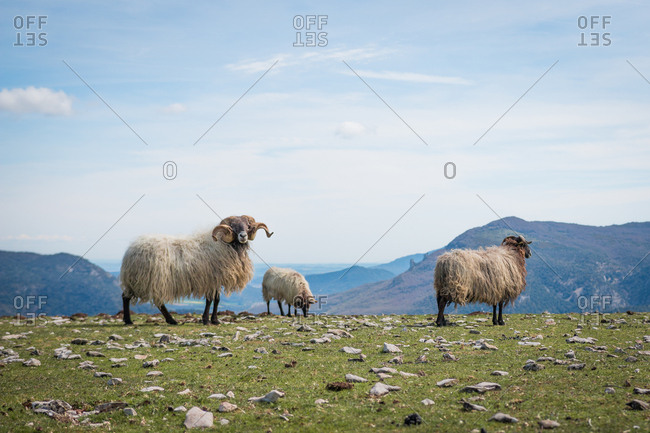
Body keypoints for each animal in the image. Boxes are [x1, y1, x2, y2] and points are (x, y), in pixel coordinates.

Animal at [120, 215, 273, 326]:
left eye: (247, 226)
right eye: (233, 227)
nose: (243, 236)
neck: (223, 245)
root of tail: (130, 251)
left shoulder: (215, 280)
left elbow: (216, 300)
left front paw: (214, 320)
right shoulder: (211, 279)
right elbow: (210, 300)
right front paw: (207, 320)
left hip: (137, 280)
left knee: (127, 296)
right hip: (149, 279)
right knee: (152, 301)